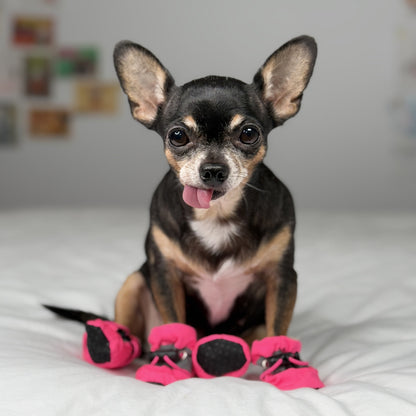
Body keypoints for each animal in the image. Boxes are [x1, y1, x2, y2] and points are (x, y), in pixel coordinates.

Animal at [46, 35, 322, 386]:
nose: (213, 169)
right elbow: (174, 327)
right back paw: (113, 344)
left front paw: (287, 367)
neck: (216, 213)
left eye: (248, 133)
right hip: (135, 282)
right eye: (178, 136)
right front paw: (168, 364)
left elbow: (278, 330)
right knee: (136, 337)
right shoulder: (166, 275)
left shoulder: (282, 278)